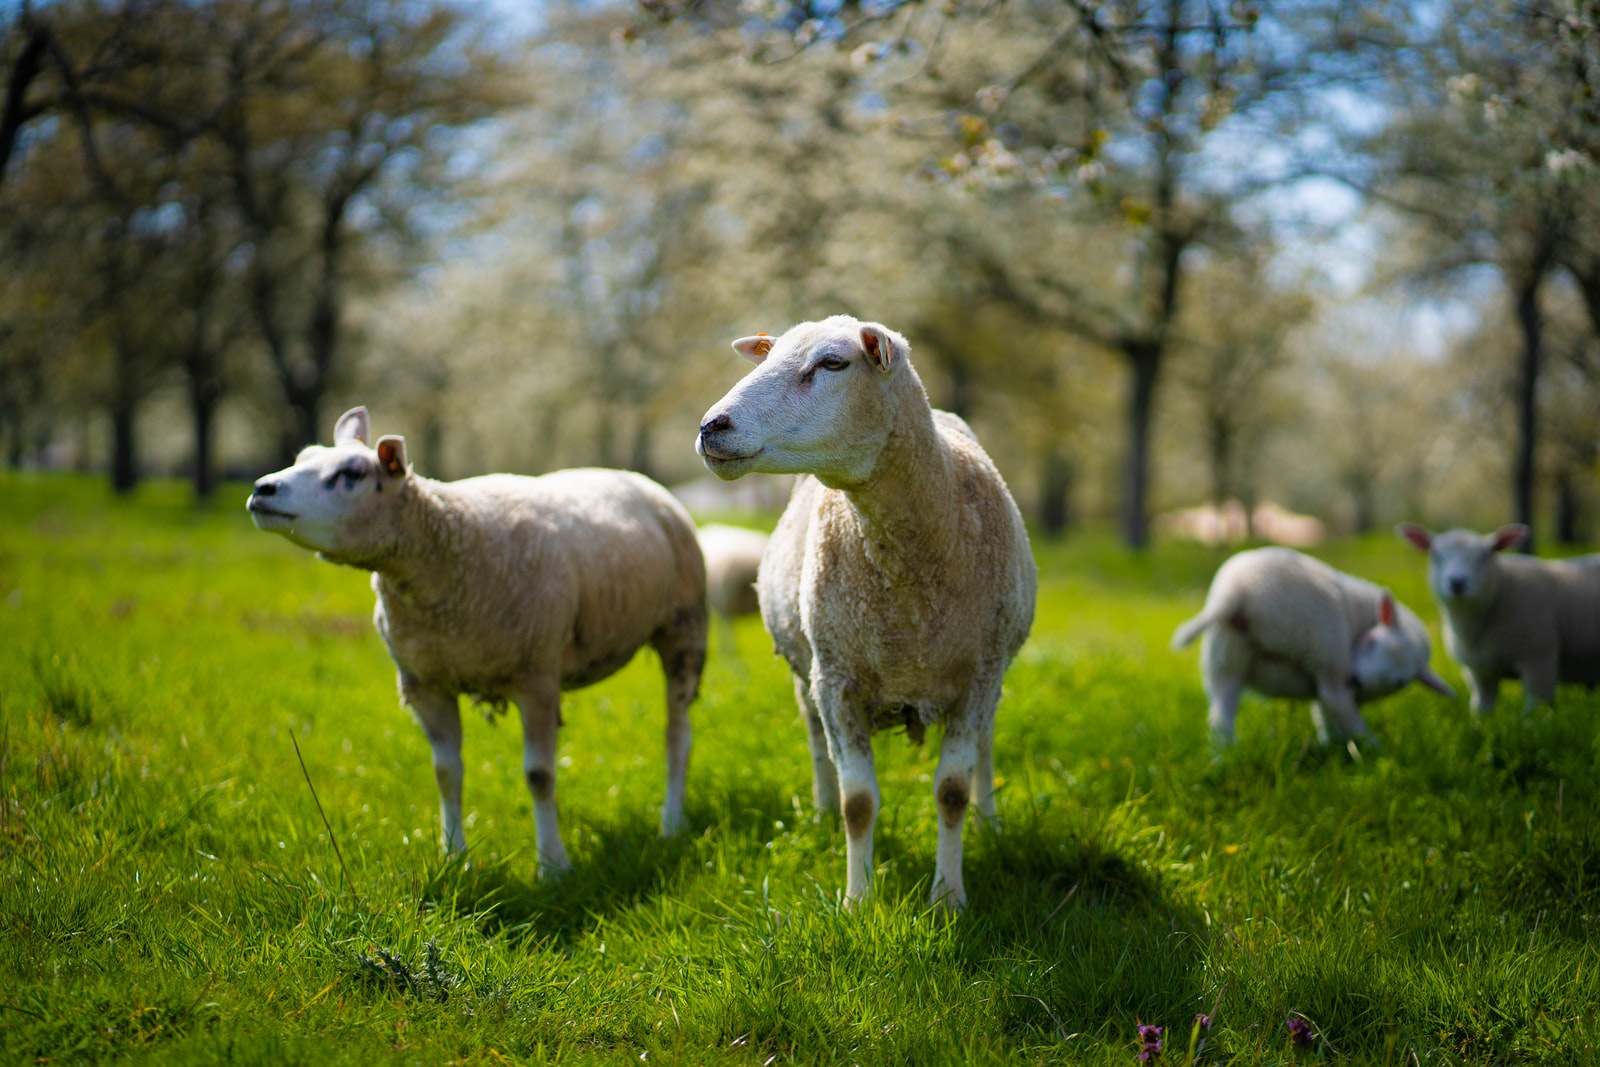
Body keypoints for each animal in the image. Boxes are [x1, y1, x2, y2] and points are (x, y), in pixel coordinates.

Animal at [247, 406, 707, 875]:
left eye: (351, 473)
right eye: (302, 458)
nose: (262, 489)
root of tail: (637, 479)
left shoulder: (537, 679)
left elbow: (539, 776)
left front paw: (553, 865)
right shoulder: (425, 684)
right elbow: (446, 773)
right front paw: (455, 856)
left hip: (684, 627)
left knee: (678, 735)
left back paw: (671, 823)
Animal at [695, 315, 1037, 910]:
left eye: (833, 363)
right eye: (768, 357)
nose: (711, 426)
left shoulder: (979, 675)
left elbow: (952, 791)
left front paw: (949, 897)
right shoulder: (836, 679)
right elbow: (858, 800)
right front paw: (858, 901)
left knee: (987, 745)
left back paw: (989, 821)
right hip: (806, 671)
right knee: (816, 744)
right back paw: (821, 817)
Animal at [1170, 547, 1454, 745]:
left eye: (1400, 682)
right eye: (1372, 642)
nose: (1356, 681)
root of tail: (1238, 591)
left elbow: (1324, 716)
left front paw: (1330, 745)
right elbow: (1335, 710)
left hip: (1225, 653)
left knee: (1220, 716)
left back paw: (1226, 755)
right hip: (1324, 644)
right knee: (1336, 697)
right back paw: (1376, 749)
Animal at [1397, 523, 1600, 713]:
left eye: (1485, 555)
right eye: (1436, 555)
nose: (1457, 582)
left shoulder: (1539, 659)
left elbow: (1536, 709)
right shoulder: (1479, 673)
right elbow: (1481, 708)